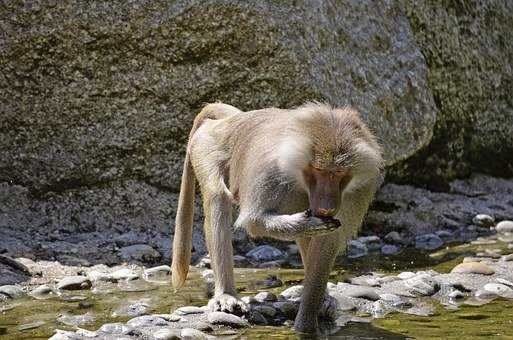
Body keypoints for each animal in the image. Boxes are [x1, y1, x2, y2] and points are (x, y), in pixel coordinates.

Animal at [170, 101, 382, 334]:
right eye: (320, 170)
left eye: (338, 173)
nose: (326, 207)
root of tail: (231, 120)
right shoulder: (269, 172)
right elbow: (254, 222)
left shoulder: (356, 192)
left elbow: (326, 243)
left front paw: (307, 321)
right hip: (206, 147)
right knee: (218, 197)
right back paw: (226, 295)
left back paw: (324, 298)